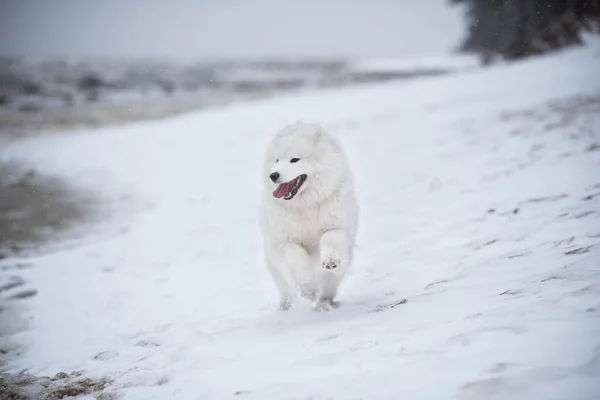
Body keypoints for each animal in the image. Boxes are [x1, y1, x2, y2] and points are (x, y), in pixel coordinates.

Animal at [256, 123, 356, 310]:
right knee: (286, 289)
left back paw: (325, 302)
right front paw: (309, 290)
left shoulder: (337, 227)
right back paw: (288, 306)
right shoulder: (284, 242)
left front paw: (330, 261)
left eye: (295, 160)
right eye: (277, 160)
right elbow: (297, 259)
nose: (273, 175)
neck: (305, 206)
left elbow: (329, 239)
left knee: (330, 283)